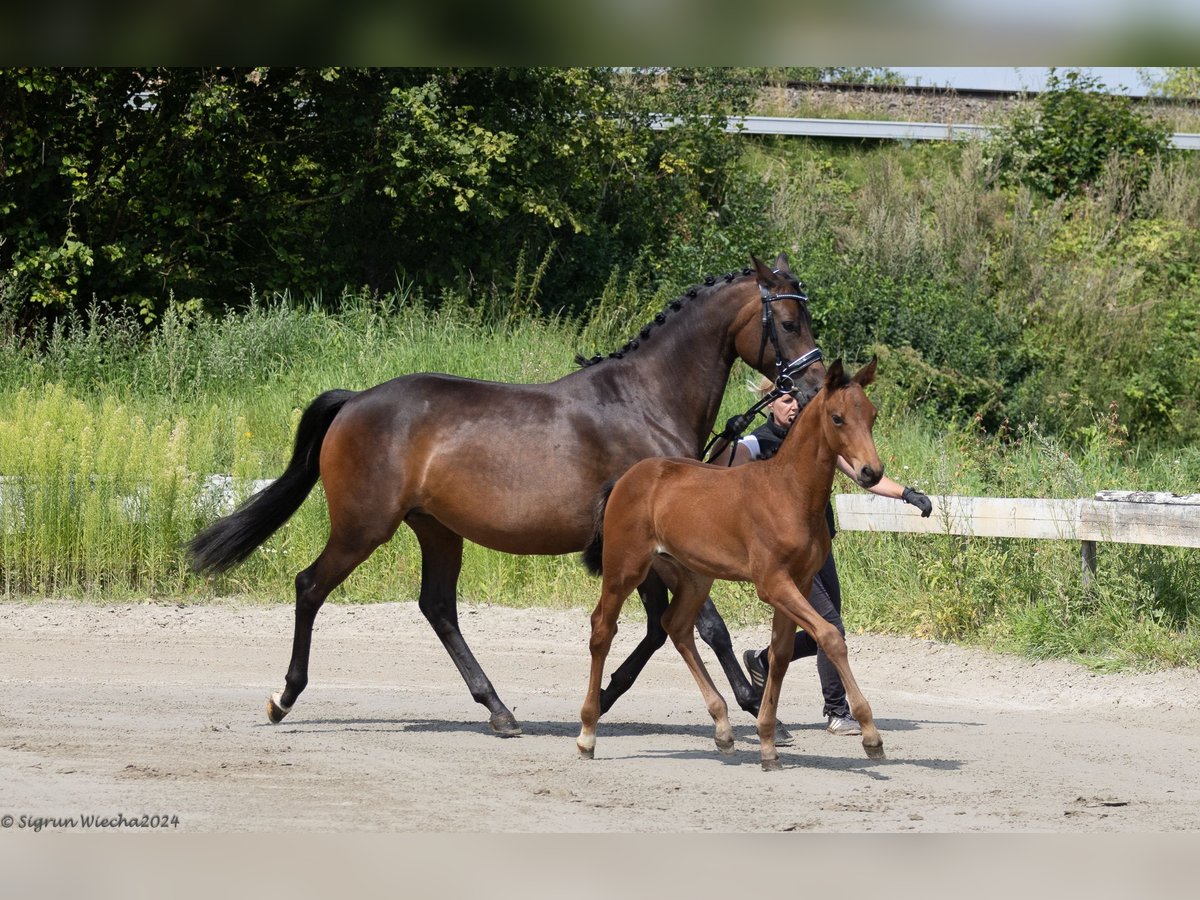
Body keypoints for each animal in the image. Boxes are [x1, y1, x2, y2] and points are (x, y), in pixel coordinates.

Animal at [576, 360, 888, 777]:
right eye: (837, 418)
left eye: (871, 415)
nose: (872, 472)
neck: (789, 493)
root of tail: (626, 478)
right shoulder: (773, 583)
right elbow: (830, 637)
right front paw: (871, 737)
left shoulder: (801, 582)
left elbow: (780, 654)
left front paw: (768, 745)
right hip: (625, 567)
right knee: (602, 629)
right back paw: (587, 734)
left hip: (693, 575)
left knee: (675, 625)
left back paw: (722, 727)